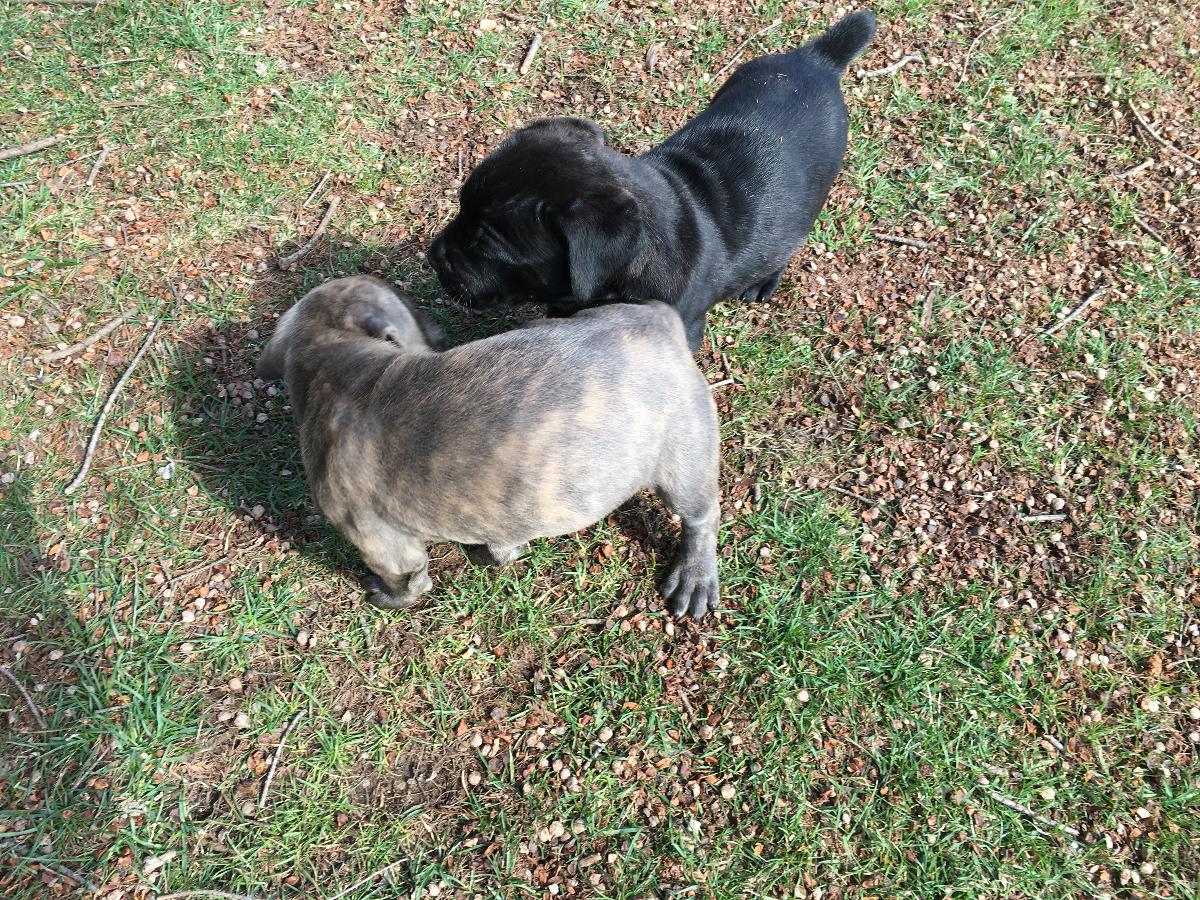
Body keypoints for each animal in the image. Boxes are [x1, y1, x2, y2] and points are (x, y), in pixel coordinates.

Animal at [256, 274, 720, 619]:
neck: (334, 363)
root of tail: (659, 322)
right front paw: (498, 552)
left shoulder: (382, 543)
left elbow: (408, 580)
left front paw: (388, 597)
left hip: (684, 461)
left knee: (700, 517)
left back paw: (694, 575)